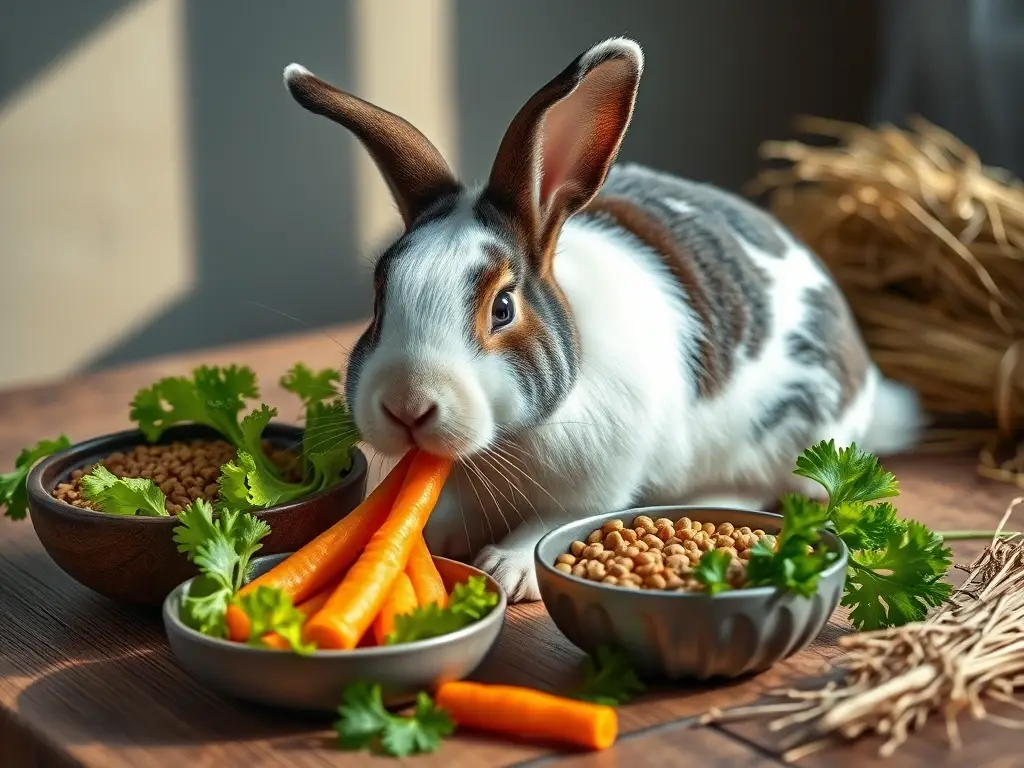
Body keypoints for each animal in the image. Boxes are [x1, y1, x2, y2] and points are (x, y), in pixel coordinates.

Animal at [282, 37, 923, 603]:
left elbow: (554, 522)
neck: (509, 439)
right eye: (379, 295)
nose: (406, 406)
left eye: (502, 307)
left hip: (784, 439)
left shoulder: (598, 485)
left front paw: (509, 568)